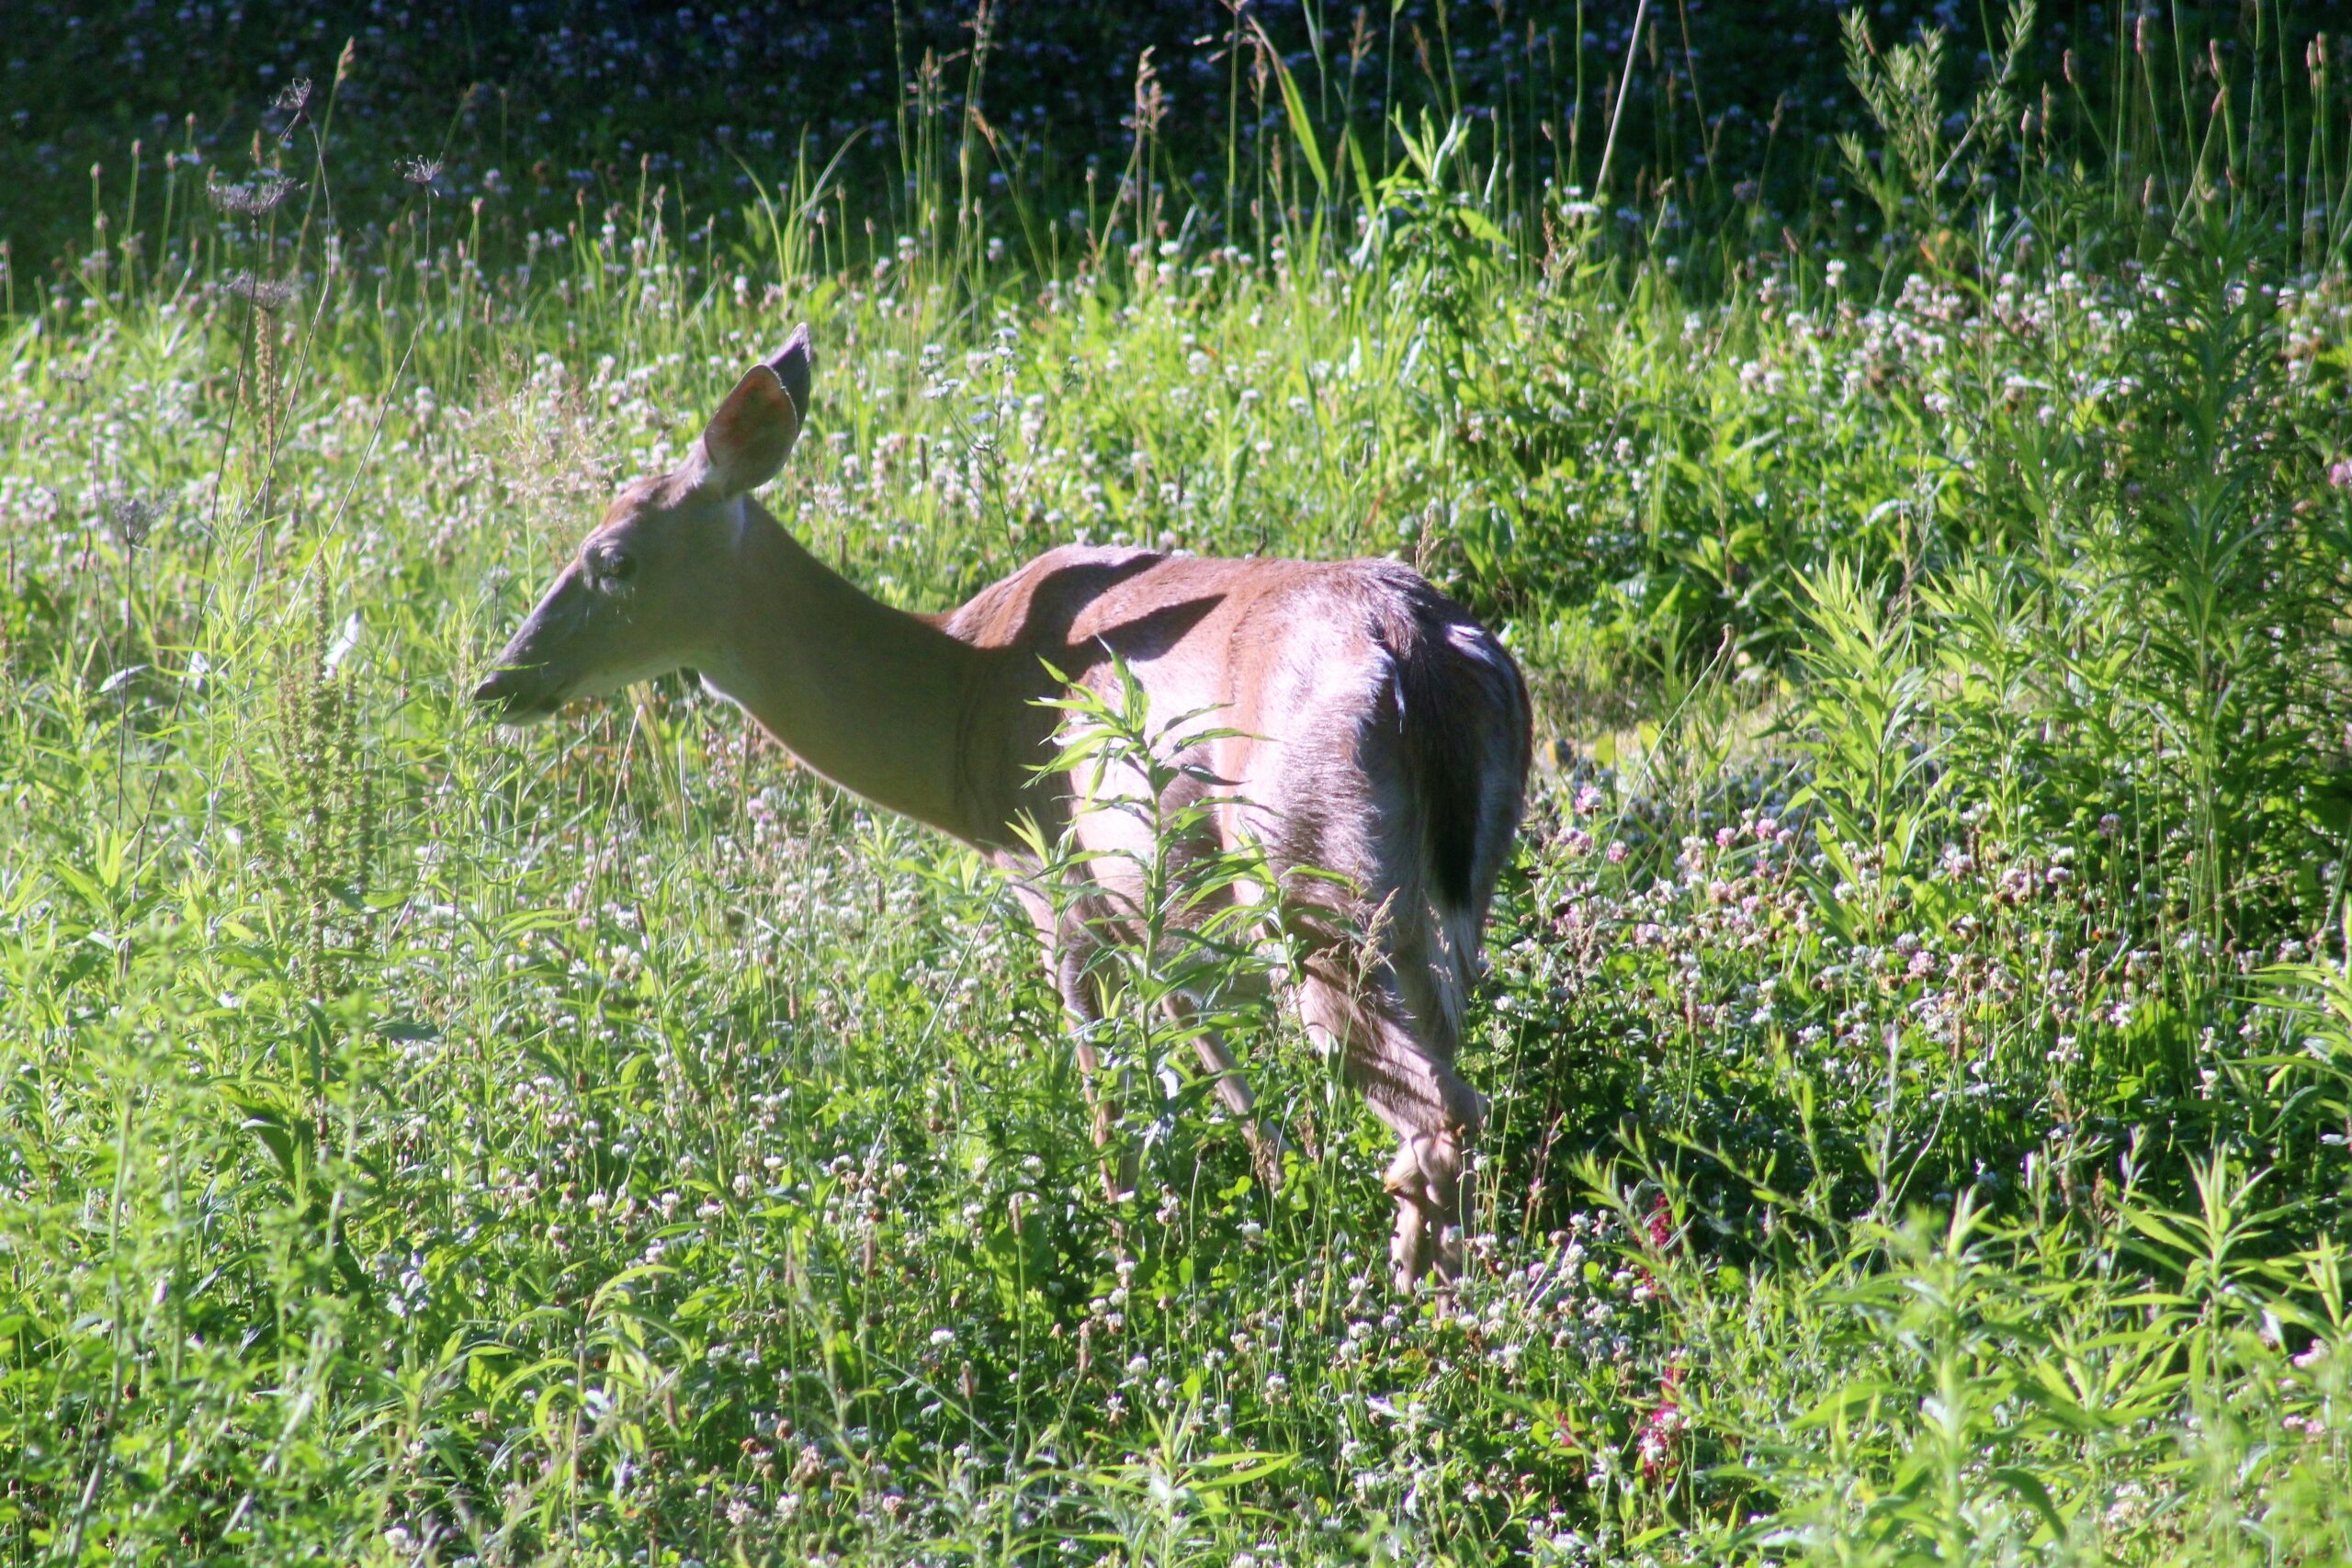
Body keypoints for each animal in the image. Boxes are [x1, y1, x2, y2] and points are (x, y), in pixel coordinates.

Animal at [472, 326, 1532, 1289]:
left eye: (613, 558)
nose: (499, 680)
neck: (955, 699)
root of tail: (1417, 644)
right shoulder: (1147, 907)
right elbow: (1209, 1056)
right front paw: (1277, 1184)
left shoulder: (1053, 877)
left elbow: (1107, 1088)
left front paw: (1126, 1246)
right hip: (1441, 901)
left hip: (1311, 874)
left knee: (1439, 1110)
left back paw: (1418, 1307)